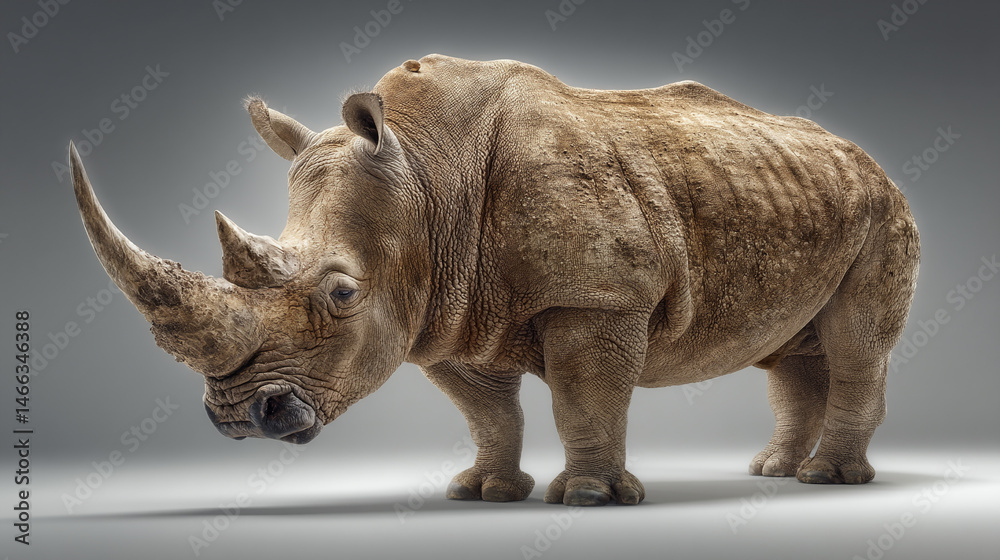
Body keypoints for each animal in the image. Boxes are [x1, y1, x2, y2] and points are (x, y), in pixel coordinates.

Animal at [70, 54, 920, 506]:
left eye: (342, 294)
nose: (241, 419)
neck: (423, 176)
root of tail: (866, 156)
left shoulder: (596, 297)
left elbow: (583, 397)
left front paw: (590, 498)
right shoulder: (440, 311)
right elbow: (486, 412)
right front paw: (483, 492)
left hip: (882, 210)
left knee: (856, 344)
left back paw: (828, 481)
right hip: (803, 194)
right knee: (791, 352)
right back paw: (774, 472)